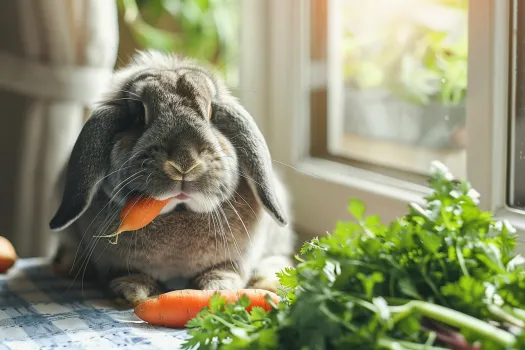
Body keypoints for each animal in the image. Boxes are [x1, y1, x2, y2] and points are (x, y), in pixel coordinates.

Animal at [48, 49, 294, 306]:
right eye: (139, 115)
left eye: (211, 113)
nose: (184, 165)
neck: (179, 212)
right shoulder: (111, 262)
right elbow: (126, 273)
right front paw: (133, 292)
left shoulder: (239, 258)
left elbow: (225, 271)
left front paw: (216, 288)